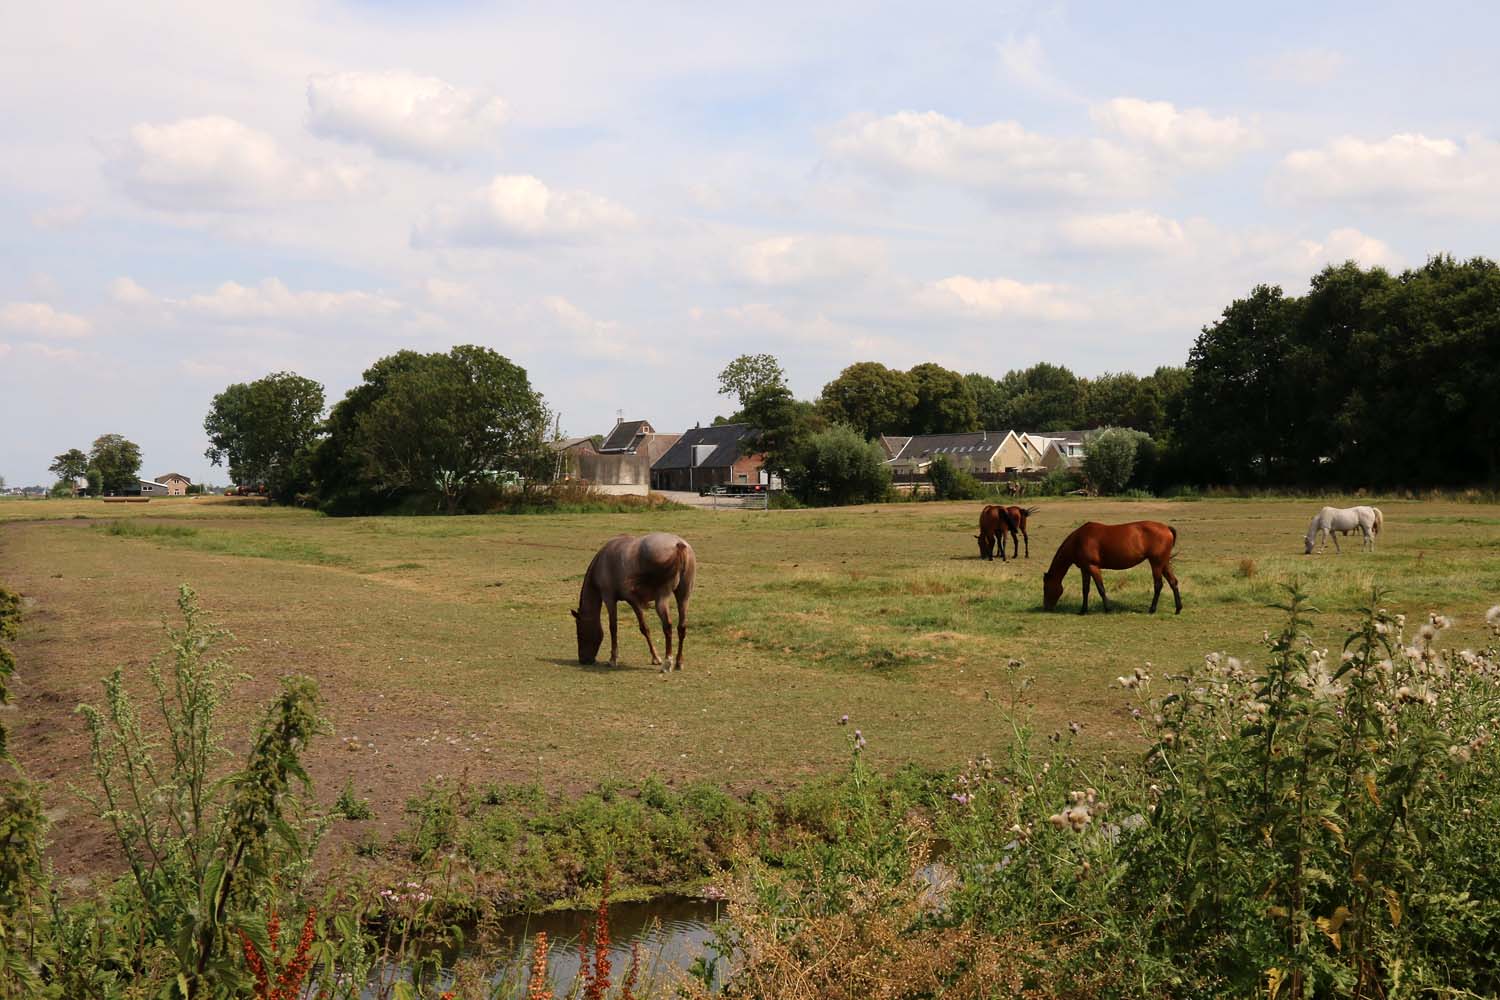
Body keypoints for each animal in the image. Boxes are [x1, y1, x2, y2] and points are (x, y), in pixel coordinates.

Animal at [573, 530, 696, 671]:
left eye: (580, 633)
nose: (583, 660)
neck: (602, 561)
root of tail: (679, 545)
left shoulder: (612, 599)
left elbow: (614, 627)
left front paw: (613, 659)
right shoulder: (633, 601)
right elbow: (644, 628)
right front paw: (655, 657)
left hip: (661, 600)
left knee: (668, 626)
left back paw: (667, 663)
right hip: (683, 598)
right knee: (682, 627)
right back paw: (678, 662)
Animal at [1044, 521, 1182, 614]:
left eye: (1046, 588)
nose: (1046, 608)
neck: (1078, 540)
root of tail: (1167, 528)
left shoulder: (1093, 567)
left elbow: (1101, 589)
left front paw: (1107, 608)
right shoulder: (1084, 569)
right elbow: (1085, 589)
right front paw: (1083, 610)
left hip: (1156, 563)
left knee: (1158, 585)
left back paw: (1152, 609)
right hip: (1164, 563)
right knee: (1173, 582)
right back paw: (1178, 609)